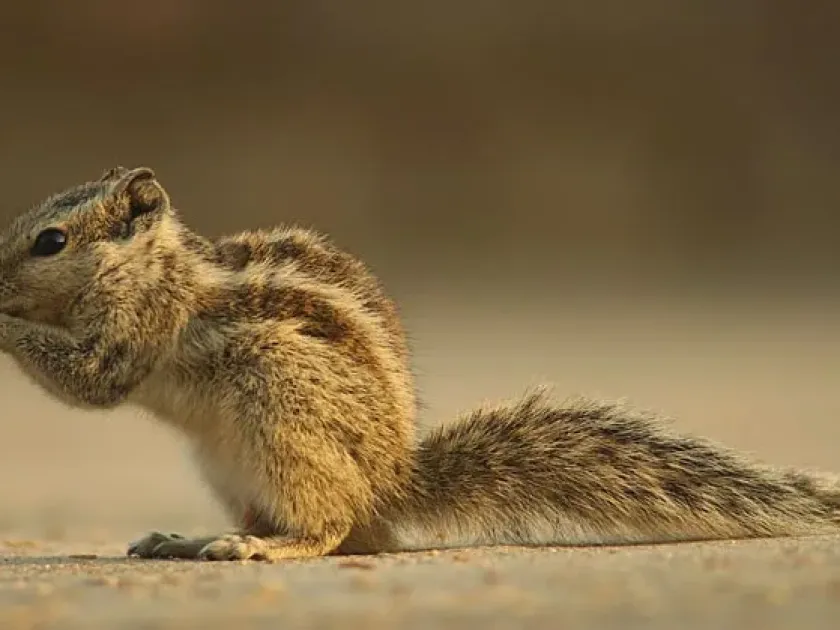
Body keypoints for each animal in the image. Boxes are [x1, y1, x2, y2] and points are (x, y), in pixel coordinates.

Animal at [0, 165, 838, 562]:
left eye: (51, 241)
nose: (0, 275)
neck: (156, 263)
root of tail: (390, 485)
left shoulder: (136, 328)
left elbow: (92, 380)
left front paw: (3, 319)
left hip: (280, 412)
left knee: (333, 529)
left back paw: (263, 546)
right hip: (230, 463)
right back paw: (187, 540)